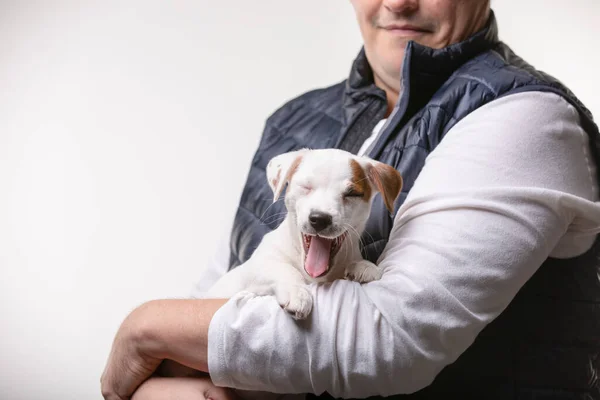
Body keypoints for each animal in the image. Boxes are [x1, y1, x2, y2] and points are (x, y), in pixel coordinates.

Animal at [203, 147, 404, 318]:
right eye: (306, 187)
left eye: (351, 193)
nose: (320, 218)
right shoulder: (257, 267)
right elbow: (284, 268)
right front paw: (297, 291)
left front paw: (364, 267)